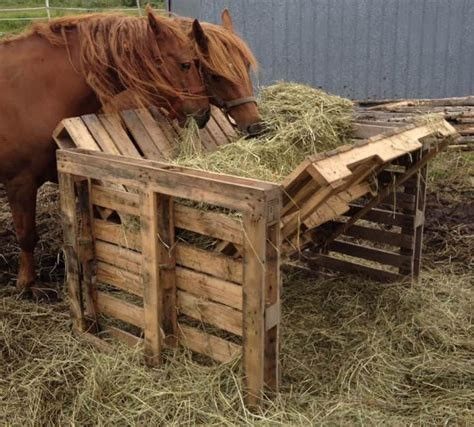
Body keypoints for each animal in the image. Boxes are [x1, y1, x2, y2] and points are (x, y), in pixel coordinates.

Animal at [0, 10, 209, 298]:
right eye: (185, 64)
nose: (204, 113)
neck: (34, 90)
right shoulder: (19, 182)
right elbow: (26, 235)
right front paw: (26, 283)